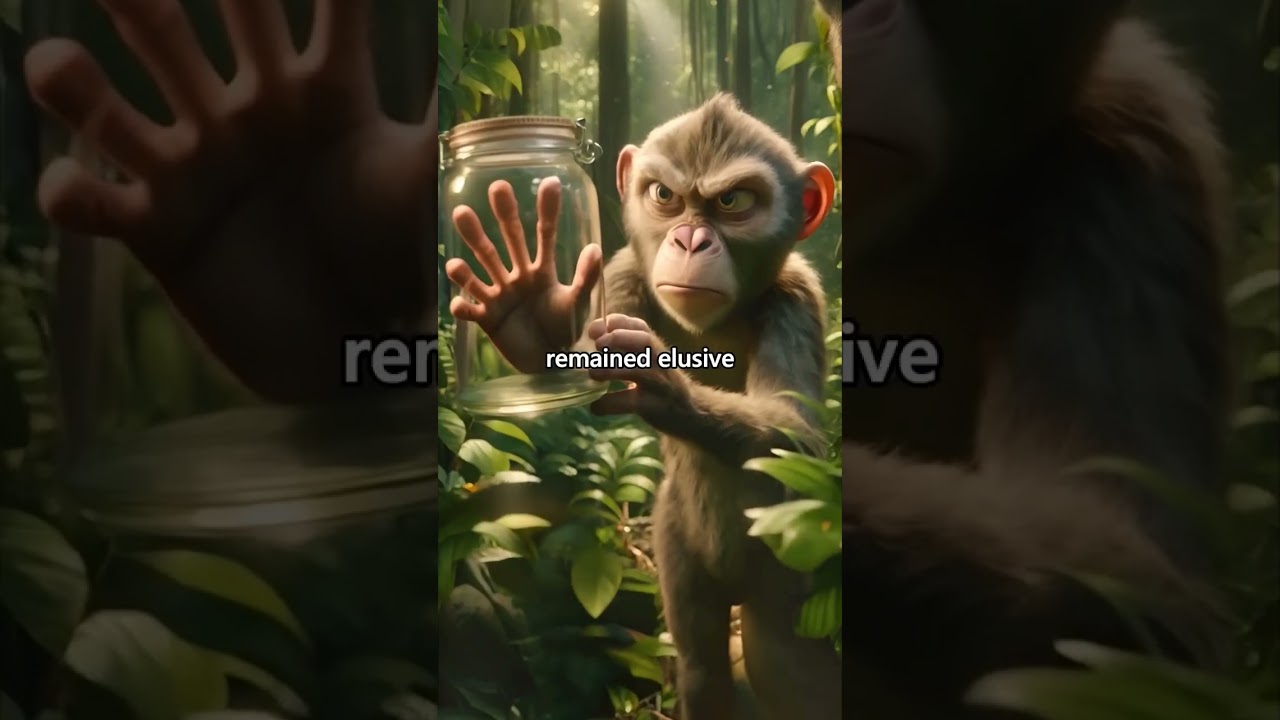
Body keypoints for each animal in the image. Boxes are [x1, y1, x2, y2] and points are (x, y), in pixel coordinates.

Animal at [444, 93, 842, 720]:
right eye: (665, 197)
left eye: (731, 202)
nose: (690, 242)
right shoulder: (623, 276)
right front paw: (531, 313)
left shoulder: (796, 296)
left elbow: (798, 436)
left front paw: (663, 384)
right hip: (678, 543)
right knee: (702, 664)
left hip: (794, 551)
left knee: (788, 666)